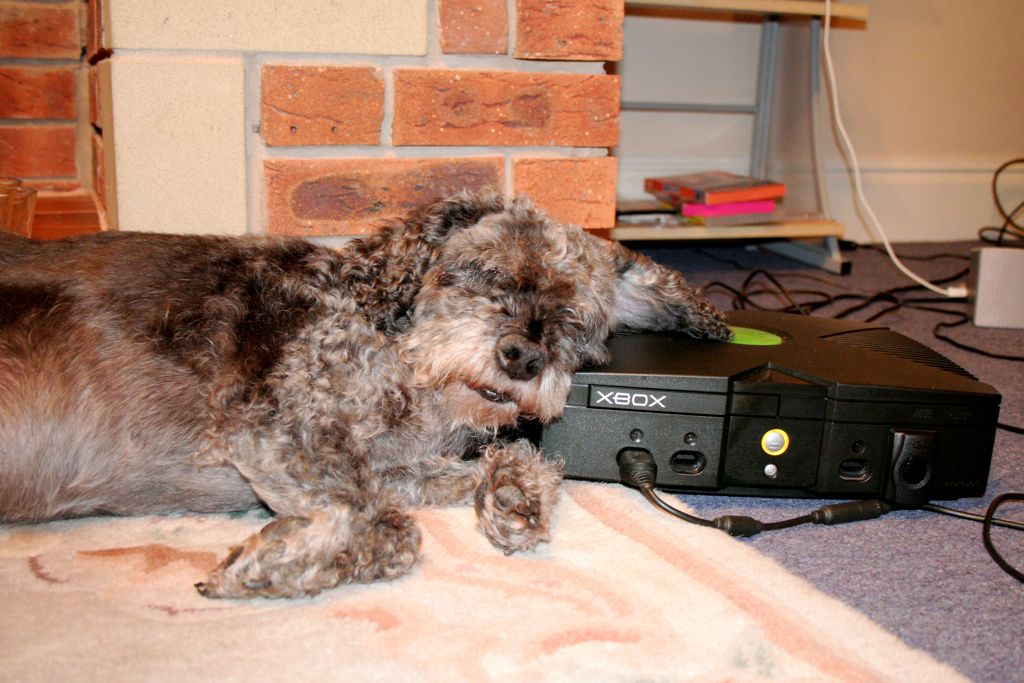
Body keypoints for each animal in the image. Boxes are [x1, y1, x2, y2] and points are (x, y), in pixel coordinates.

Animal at [0, 192, 737, 598]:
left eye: (575, 318)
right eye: (488, 274)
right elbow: (383, 525)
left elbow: (503, 469)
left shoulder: (388, 463)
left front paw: (515, 494)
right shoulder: (275, 430)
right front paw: (271, 564)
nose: (523, 358)